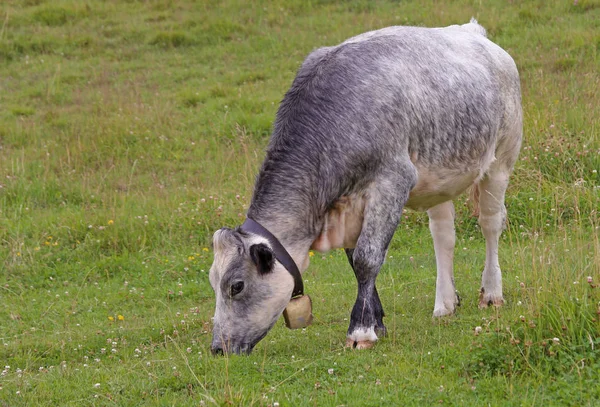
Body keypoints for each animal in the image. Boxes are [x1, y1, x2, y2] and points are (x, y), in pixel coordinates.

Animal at [209, 20, 524, 356]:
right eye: (213, 282)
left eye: (236, 286)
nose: (217, 348)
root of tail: (471, 30)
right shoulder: (348, 206)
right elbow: (354, 261)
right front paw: (378, 321)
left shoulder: (392, 181)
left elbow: (366, 258)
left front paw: (361, 330)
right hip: (441, 178)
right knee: (443, 237)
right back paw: (445, 303)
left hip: (501, 161)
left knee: (490, 224)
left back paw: (491, 293)